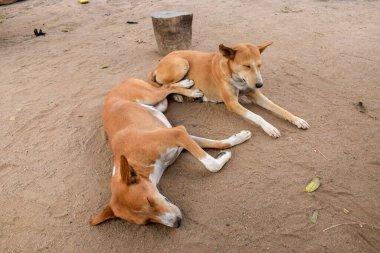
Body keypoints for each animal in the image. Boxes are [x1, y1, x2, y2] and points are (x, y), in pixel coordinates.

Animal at [148, 42, 308, 137]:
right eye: (246, 66)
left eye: (259, 65)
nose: (260, 85)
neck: (238, 79)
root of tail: (159, 63)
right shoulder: (232, 103)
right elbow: (257, 116)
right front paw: (269, 127)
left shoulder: (255, 94)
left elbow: (279, 108)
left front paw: (297, 119)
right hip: (182, 63)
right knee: (166, 86)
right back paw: (190, 90)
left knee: (167, 87)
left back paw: (179, 95)